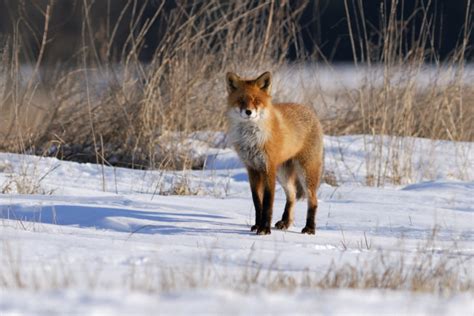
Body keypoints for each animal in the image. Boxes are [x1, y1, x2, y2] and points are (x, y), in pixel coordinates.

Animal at [225, 71, 322, 235]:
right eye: (241, 100)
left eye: (256, 100)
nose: (248, 112)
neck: (252, 139)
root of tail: (310, 111)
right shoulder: (252, 169)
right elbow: (257, 203)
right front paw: (257, 225)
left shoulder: (268, 168)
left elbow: (267, 203)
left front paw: (265, 229)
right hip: (283, 174)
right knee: (292, 195)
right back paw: (286, 222)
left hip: (305, 172)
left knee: (313, 201)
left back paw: (310, 228)